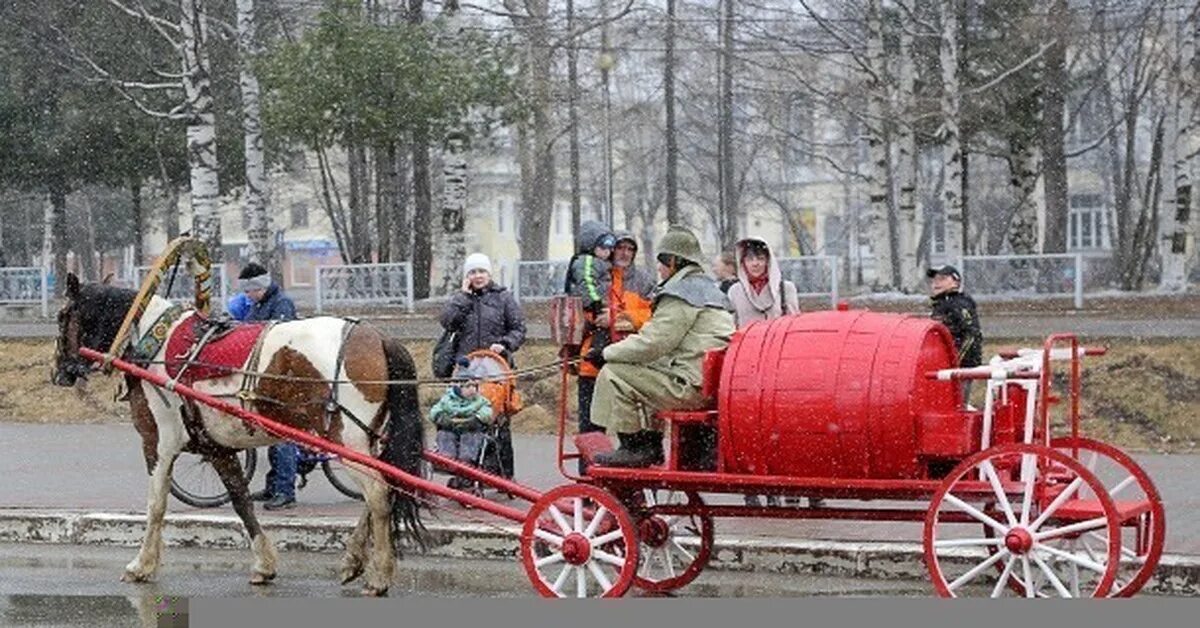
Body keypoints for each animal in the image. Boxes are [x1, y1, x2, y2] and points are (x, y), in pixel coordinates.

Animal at [51, 273, 427, 595]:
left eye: (62, 316)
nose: (58, 372)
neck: (150, 342)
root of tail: (379, 337)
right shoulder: (217, 448)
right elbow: (241, 501)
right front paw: (263, 564)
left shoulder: (157, 442)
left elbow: (156, 504)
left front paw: (142, 565)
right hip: (365, 440)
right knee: (383, 490)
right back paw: (353, 560)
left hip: (345, 438)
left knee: (378, 494)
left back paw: (379, 575)